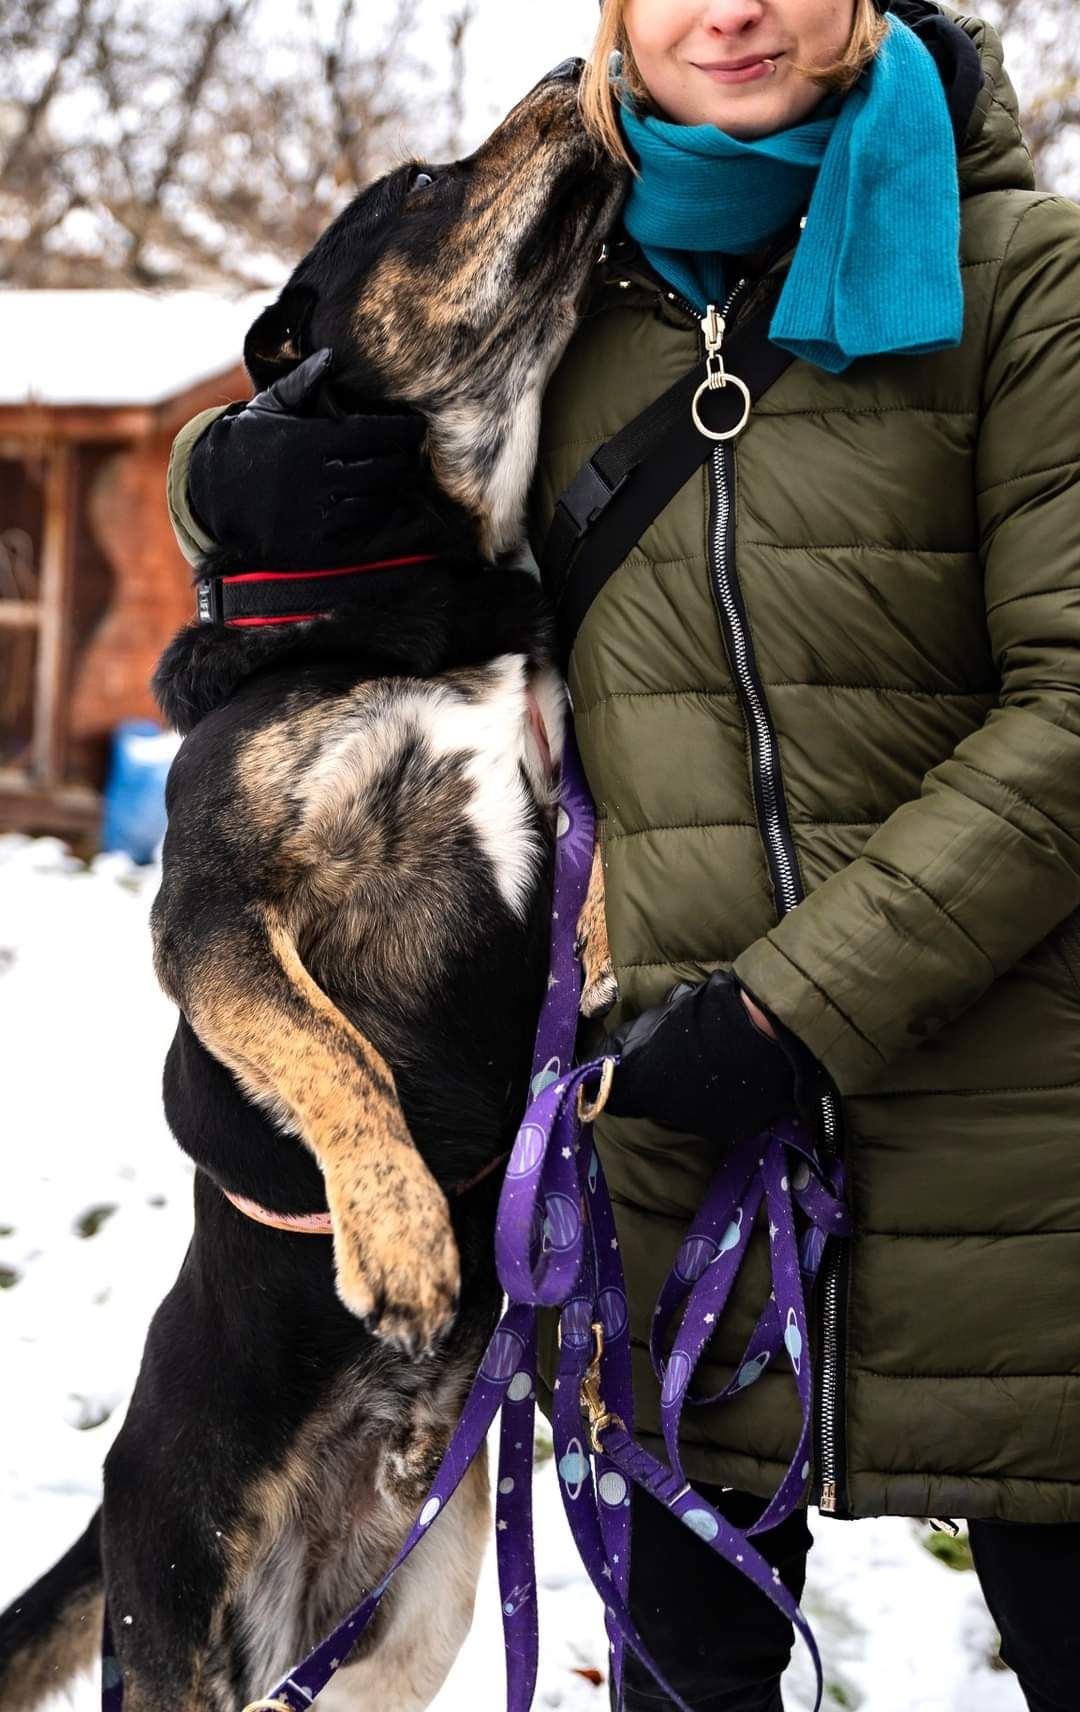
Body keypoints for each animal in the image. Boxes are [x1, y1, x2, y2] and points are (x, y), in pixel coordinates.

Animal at [0, 63, 619, 1712]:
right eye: (416, 185)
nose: (569, 74)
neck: (421, 601)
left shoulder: (563, 800)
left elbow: (594, 904)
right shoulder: (216, 909)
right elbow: (334, 1058)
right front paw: (400, 1238)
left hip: (409, 1630)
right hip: (181, 1632)